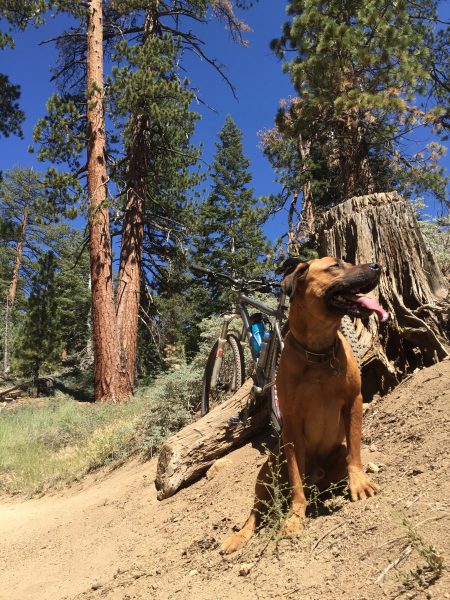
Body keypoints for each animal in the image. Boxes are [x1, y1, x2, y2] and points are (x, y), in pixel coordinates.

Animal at [220, 256, 388, 552]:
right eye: (335, 266)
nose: (376, 266)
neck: (318, 352)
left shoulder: (353, 402)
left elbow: (355, 451)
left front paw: (359, 483)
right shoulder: (291, 424)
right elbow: (296, 479)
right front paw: (296, 516)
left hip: (333, 457)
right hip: (268, 471)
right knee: (256, 511)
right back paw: (239, 537)